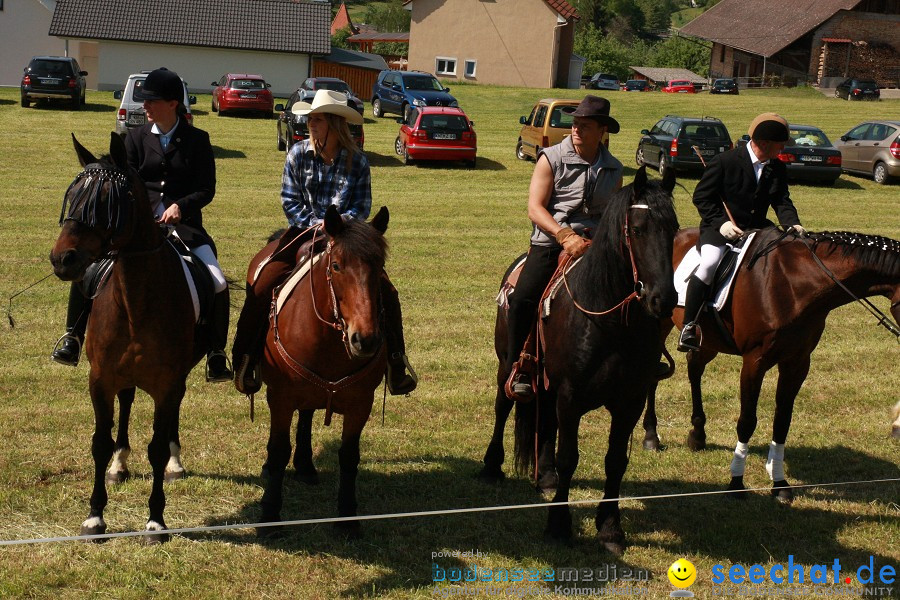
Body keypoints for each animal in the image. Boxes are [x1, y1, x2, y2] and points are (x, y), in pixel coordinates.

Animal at [51, 134, 214, 540]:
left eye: (107, 202)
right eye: (73, 196)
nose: (62, 259)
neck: (135, 298)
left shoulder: (167, 382)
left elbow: (157, 447)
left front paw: (156, 520)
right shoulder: (100, 379)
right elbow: (99, 441)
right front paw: (95, 516)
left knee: (171, 417)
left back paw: (175, 463)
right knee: (125, 404)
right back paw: (119, 464)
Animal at [253, 204, 390, 536]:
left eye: (379, 265)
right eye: (337, 265)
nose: (365, 338)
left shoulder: (360, 403)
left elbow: (349, 457)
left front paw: (347, 519)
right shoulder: (281, 397)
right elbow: (278, 451)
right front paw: (269, 516)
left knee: (306, 416)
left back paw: (305, 465)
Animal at [478, 166, 676, 556]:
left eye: (674, 229)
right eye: (638, 229)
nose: (664, 298)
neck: (611, 322)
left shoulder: (629, 401)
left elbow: (616, 461)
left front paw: (611, 528)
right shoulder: (571, 396)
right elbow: (570, 457)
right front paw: (558, 525)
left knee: (545, 422)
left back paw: (545, 474)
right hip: (508, 365)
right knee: (503, 405)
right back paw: (492, 466)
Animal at [640, 230, 900, 502]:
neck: (794, 285)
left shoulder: (797, 362)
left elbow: (782, 421)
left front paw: (779, 482)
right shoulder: (755, 362)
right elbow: (747, 421)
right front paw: (736, 482)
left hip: (708, 340)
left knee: (695, 369)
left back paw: (698, 435)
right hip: (659, 323)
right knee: (653, 375)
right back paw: (651, 436)